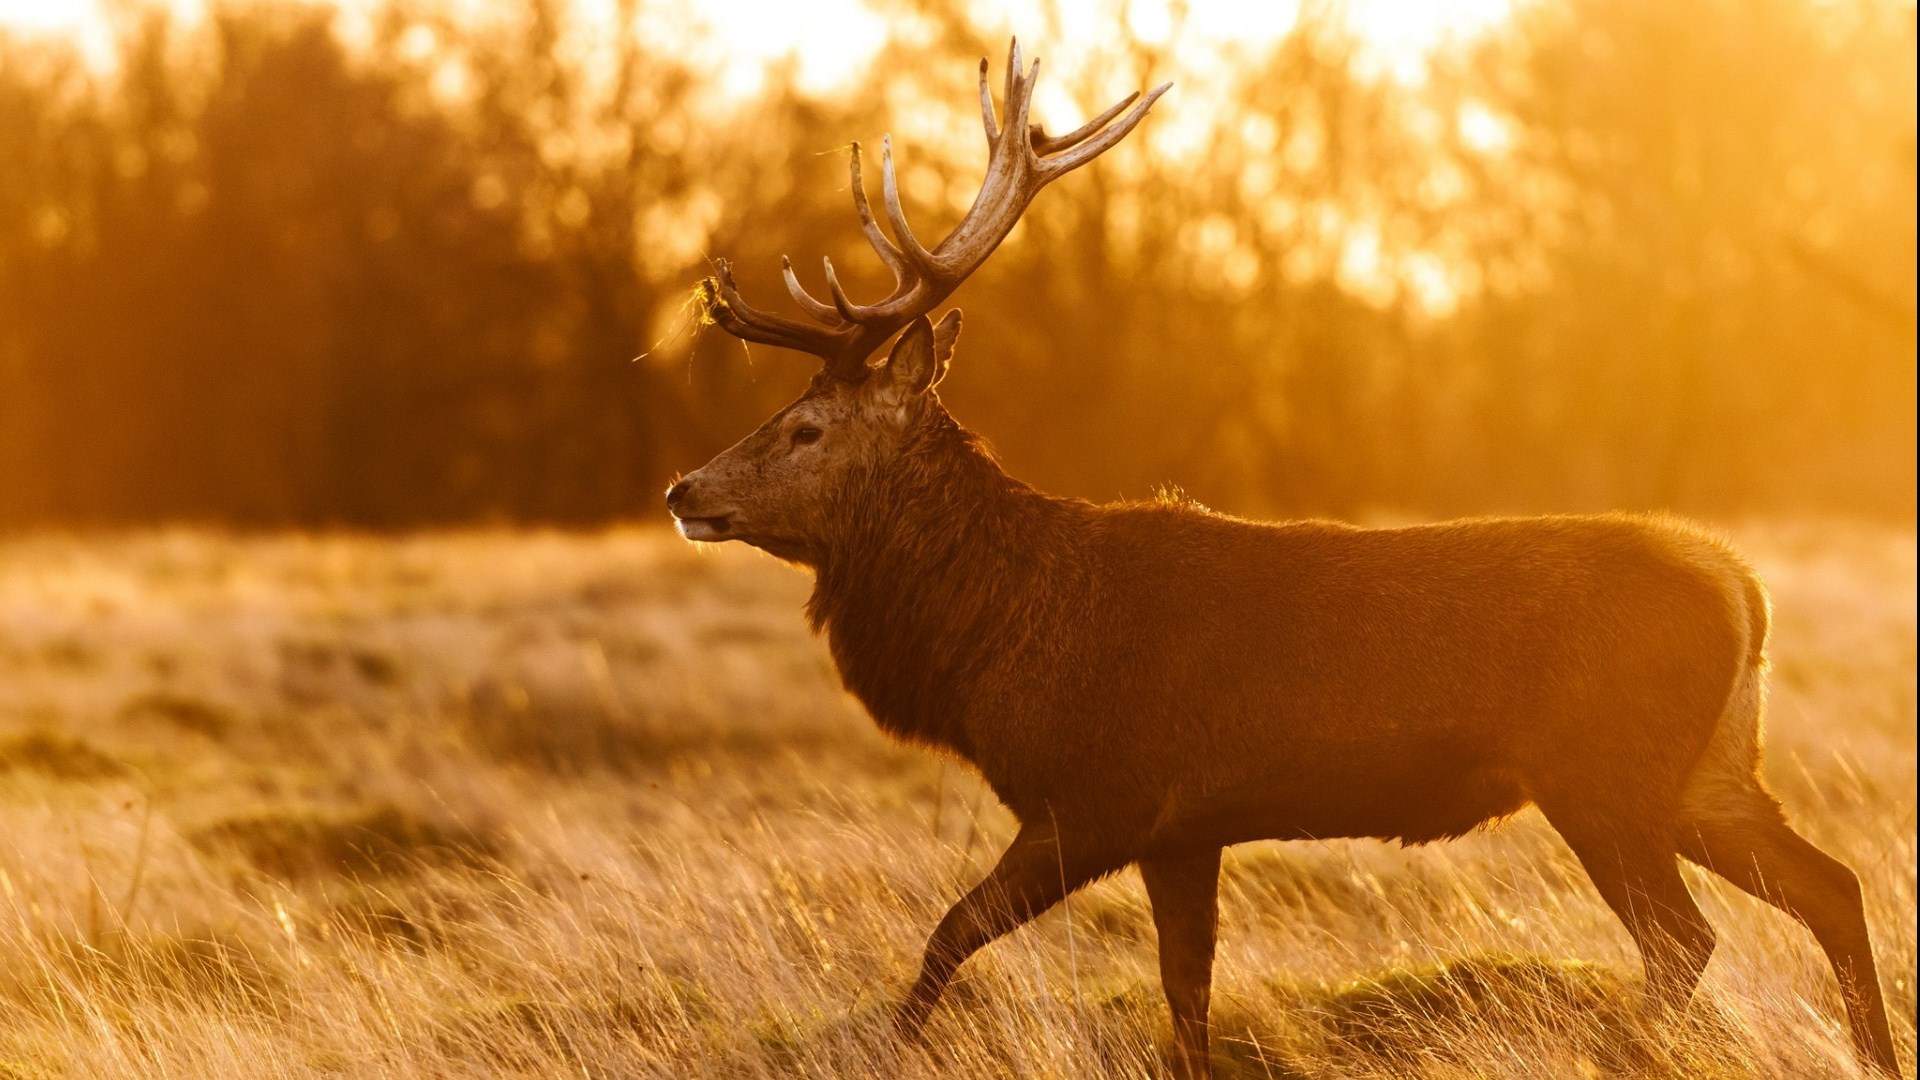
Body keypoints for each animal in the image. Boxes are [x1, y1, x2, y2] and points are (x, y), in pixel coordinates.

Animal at [665, 40, 1903, 1080]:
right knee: (1832, 885)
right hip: (1709, 770)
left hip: (1605, 773)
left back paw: (1621, 1050)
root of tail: (1741, 586)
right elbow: (1185, 998)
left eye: (807, 428)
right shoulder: (1184, 828)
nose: (684, 491)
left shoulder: (1100, 795)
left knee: (1688, 937)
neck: (1002, 634)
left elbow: (949, 935)